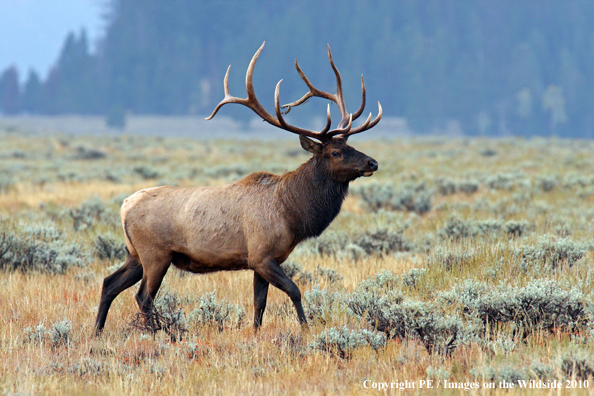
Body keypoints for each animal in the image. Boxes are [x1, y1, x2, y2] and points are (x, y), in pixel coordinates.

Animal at [92, 42, 380, 334]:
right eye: (335, 152)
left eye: (350, 145)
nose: (372, 162)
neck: (292, 213)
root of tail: (124, 207)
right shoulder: (262, 255)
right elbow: (295, 290)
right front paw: (306, 328)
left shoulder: (261, 261)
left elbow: (259, 303)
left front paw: (256, 333)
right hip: (155, 254)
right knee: (143, 297)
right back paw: (157, 331)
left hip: (135, 254)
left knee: (109, 283)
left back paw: (97, 331)